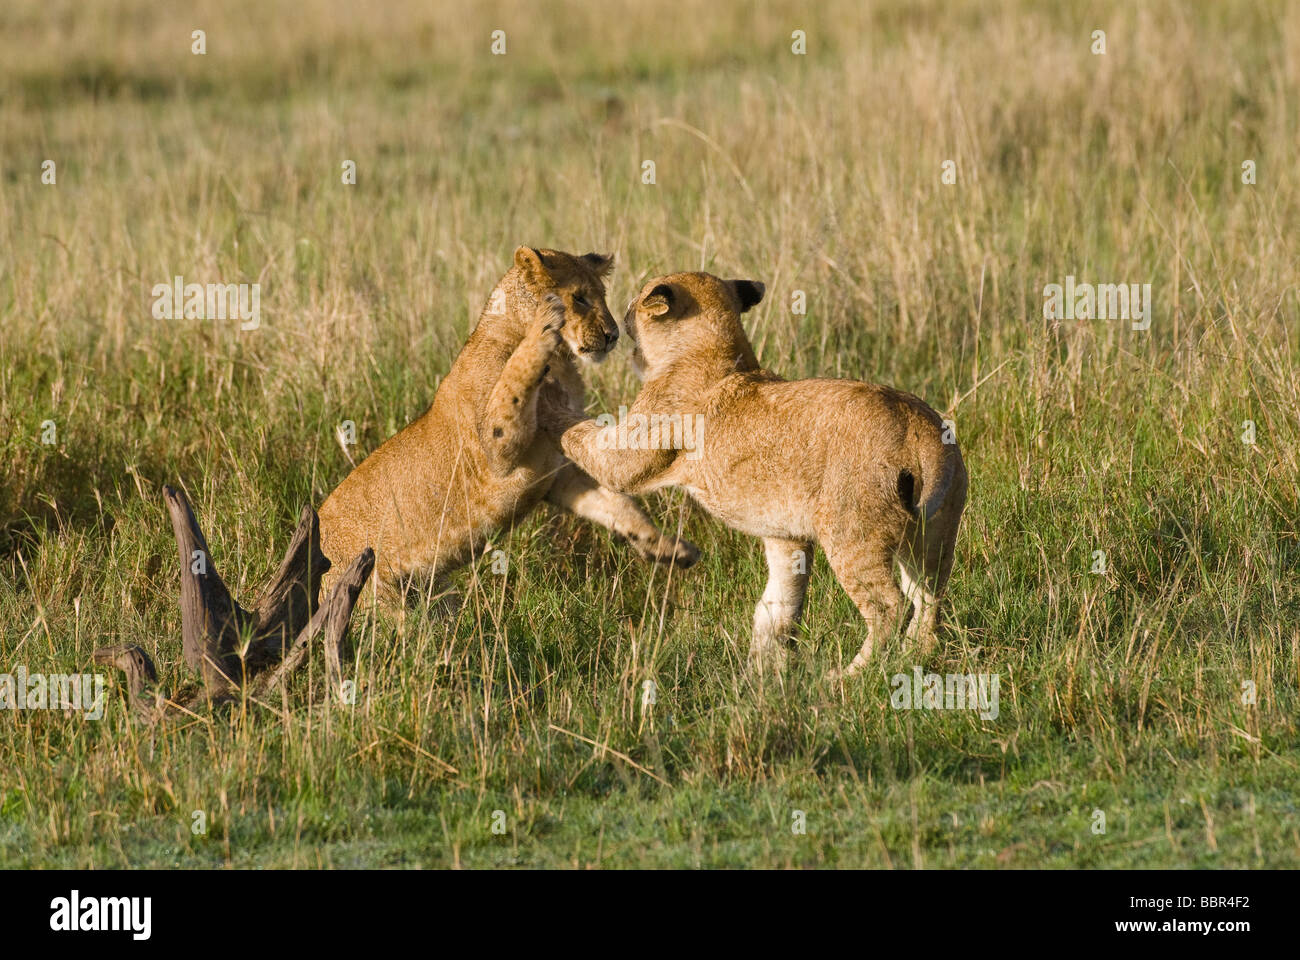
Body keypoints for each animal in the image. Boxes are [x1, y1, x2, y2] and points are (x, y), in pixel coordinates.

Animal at [318, 247, 699, 604]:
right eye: (579, 298)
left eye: (602, 295)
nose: (613, 335)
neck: (562, 362)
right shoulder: (497, 454)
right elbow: (515, 379)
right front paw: (545, 324)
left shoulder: (557, 473)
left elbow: (616, 505)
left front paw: (668, 548)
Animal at [542, 271, 966, 679]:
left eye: (638, 298)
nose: (625, 313)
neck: (715, 351)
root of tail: (920, 427)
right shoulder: (786, 534)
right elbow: (776, 608)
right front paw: (760, 676)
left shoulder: (633, 451)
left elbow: (588, 442)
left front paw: (550, 398)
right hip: (933, 534)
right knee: (929, 599)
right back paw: (914, 658)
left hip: (853, 534)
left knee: (890, 607)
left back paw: (849, 675)